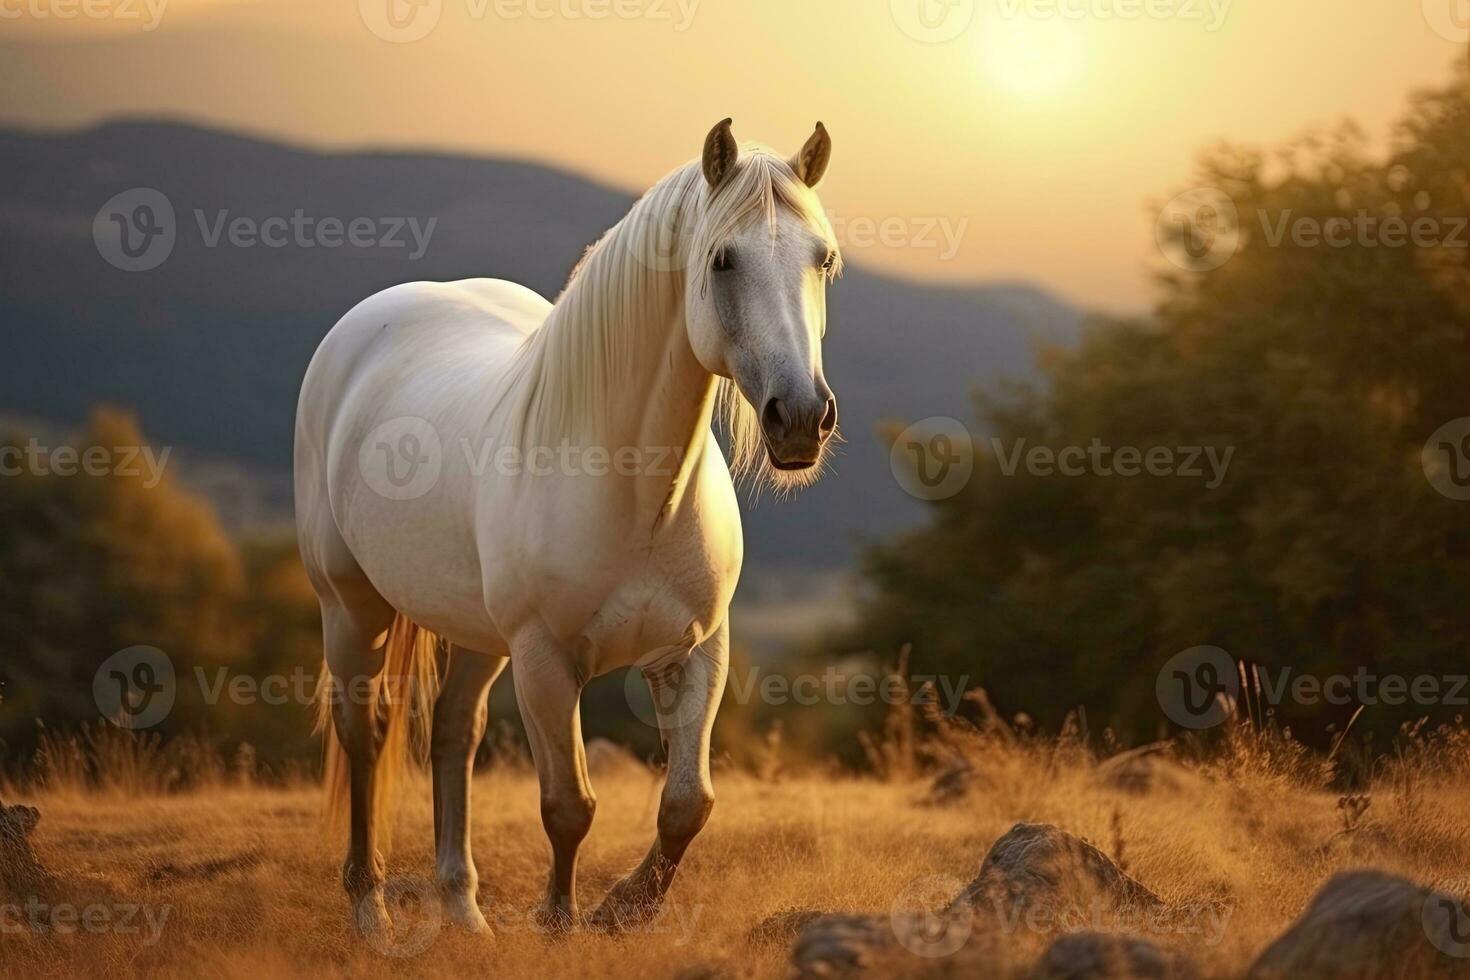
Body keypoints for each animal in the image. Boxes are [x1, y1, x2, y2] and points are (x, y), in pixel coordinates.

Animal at [291, 119, 840, 940]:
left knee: (453, 733)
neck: (638, 494)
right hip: (353, 608)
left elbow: (688, 804)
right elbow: (568, 806)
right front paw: (558, 919)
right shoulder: (546, 661)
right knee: (367, 734)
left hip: (478, 635)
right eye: (722, 259)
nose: (801, 418)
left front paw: (624, 908)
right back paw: (370, 912)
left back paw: (464, 912)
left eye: (823, 259)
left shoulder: (697, 650)